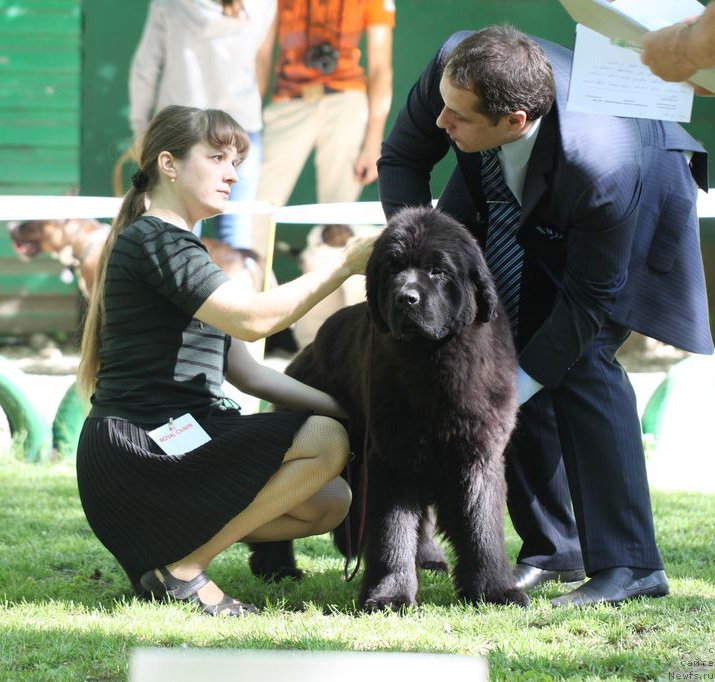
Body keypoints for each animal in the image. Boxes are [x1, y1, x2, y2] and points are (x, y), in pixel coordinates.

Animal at [250, 205, 524, 608]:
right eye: (393, 269)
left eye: (437, 270)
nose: (406, 298)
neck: (431, 362)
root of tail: (308, 349)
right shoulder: (393, 457)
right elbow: (392, 530)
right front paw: (389, 594)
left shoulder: (478, 455)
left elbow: (481, 528)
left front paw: (495, 590)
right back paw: (277, 567)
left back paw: (427, 558)